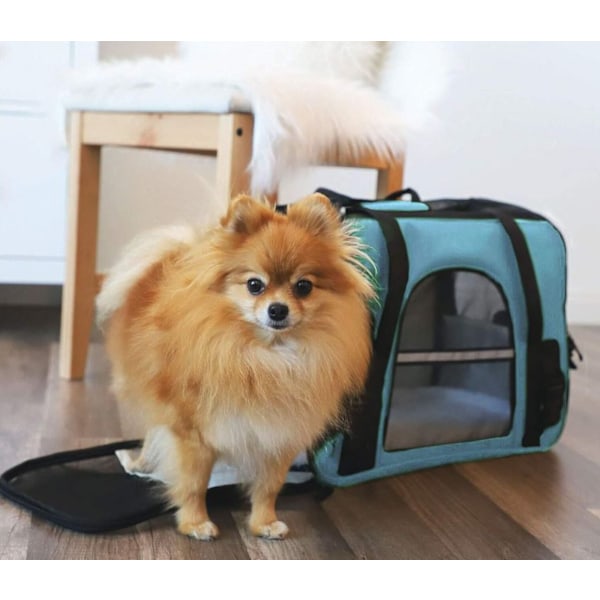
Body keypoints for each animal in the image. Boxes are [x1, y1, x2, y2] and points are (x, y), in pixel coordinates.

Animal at [98, 193, 374, 540]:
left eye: (303, 287)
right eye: (255, 285)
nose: (277, 309)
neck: (267, 356)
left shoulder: (279, 434)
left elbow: (269, 487)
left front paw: (264, 523)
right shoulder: (193, 433)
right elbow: (193, 483)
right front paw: (195, 523)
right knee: (153, 428)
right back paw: (142, 463)